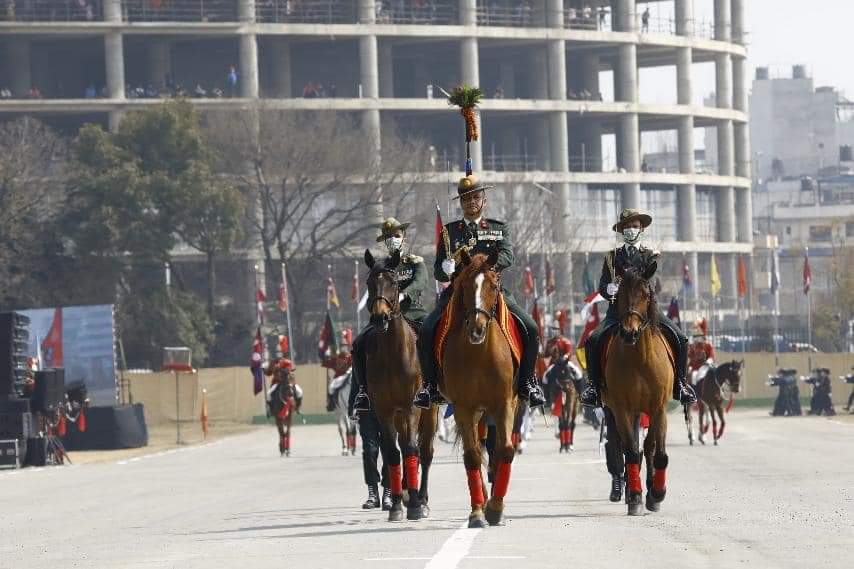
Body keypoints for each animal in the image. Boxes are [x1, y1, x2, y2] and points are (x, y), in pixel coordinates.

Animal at [362, 248, 438, 520]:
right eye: (368, 283)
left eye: (394, 283)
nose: (380, 317)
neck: (393, 354)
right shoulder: (384, 410)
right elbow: (393, 453)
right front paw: (395, 504)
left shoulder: (411, 407)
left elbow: (412, 449)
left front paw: (415, 504)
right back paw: (405, 493)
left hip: (429, 412)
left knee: (424, 452)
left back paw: (422, 498)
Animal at [444, 250, 520, 528]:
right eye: (465, 286)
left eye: (493, 286)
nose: (476, 329)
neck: (478, 355)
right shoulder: (463, 407)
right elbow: (472, 456)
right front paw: (477, 511)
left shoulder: (505, 402)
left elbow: (505, 450)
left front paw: (496, 508)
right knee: (478, 447)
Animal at [600, 258, 676, 516]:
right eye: (620, 294)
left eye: (645, 293)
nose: (629, 332)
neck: (639, 358)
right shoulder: (622, 409)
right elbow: (631, 451)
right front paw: (634, 498)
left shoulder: (659, 408)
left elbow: (657, 451)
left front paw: (657, 494)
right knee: (622, 447)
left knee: (648, 447)